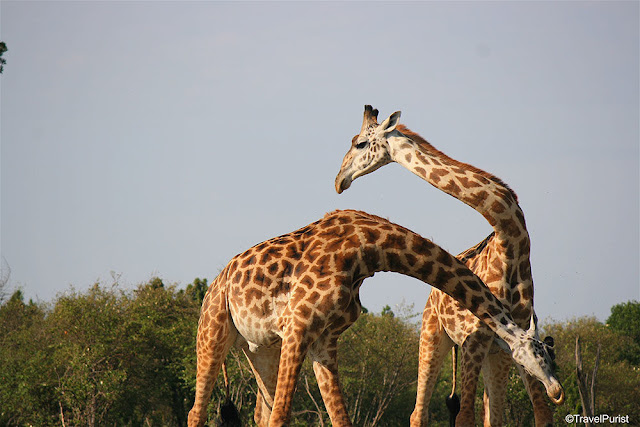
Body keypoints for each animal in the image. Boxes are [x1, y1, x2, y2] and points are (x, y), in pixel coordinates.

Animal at [186, 210, 564, 427]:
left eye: (551, 357)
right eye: (529, 359)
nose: (557, 391)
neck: (370, 249)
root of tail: (216, 281)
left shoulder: (323, 338)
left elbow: (339, 418)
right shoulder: (298, 326)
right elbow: (282, 415)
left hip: (260, 348)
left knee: (259, 410)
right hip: (213, 328)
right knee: (197, 411)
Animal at [332, 105, 564, 426]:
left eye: (360, 144)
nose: (339, 180)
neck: (512, 248)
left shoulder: (512, 344)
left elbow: (538, 414)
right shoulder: (474, 340)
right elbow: (465, 416)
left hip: (493, 355)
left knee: (491, 412)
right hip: (432, 336)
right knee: (419, 412)